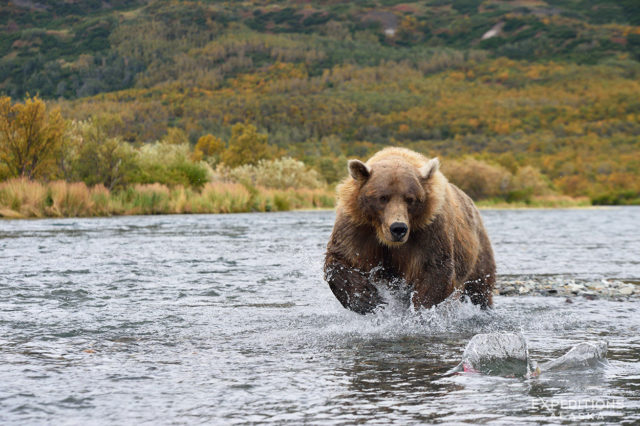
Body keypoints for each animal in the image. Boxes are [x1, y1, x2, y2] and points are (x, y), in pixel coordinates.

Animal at [324, 148, 496, 314]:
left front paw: (421, 309)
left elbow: (435, 268)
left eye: (410, 199)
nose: (398, 228)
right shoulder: (357, 225)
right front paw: (368, 299)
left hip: (477, 253)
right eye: (382, 197)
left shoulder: (429, 229)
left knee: (479, 288)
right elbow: (341, 258)